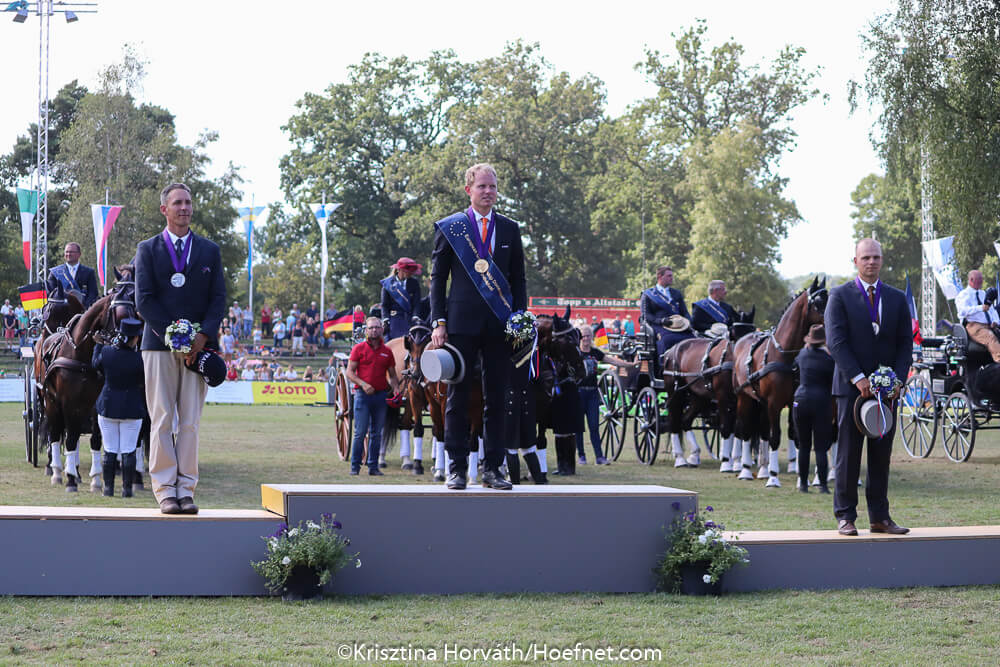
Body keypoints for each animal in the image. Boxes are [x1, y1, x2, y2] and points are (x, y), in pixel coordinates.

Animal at [37, 266, 138, 492]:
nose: (127, 341)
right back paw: (57, 471)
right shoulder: (68, 402)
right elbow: (71, 439)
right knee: (56, 434)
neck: (81, 354)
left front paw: (96, 479)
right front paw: (70, 478)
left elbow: (96, 438)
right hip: (50, 402)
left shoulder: (94, 404)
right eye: (118, 314)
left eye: (133, 312)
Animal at [731, 277, 828, 487]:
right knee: (745, 430)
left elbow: (796, 437)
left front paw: (800, 477)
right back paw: (745, 469)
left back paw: (762, 469)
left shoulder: (793, 403)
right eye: (818, 302)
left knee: (761, 431)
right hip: (744, 398)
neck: (784, 354)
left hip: (761, 403)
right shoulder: (774, 403)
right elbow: (775, 437)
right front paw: (774, 477)